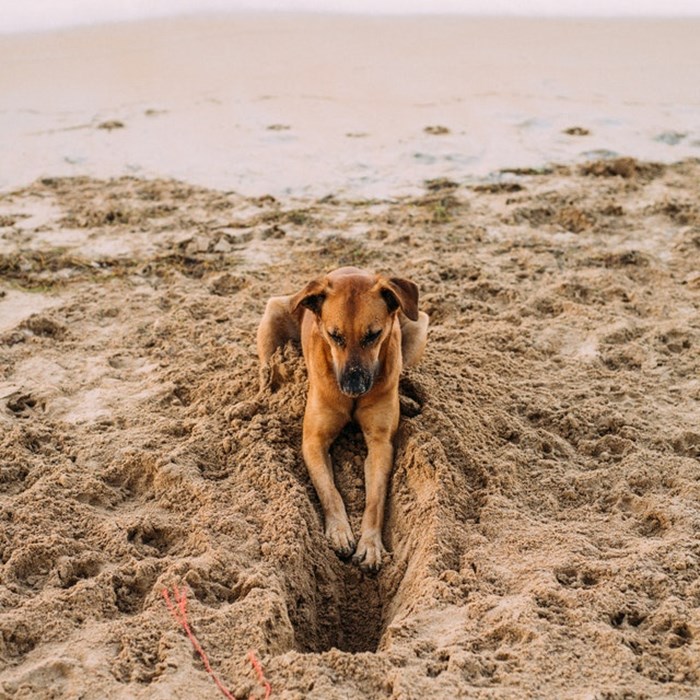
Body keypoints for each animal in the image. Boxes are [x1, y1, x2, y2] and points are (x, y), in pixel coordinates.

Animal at [258, 266, 426, 568]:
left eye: (373, 335)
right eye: (334, 336)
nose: (353, 387)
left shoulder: (381, 444)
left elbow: (375, 499)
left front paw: (369, 543)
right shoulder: (313, 441)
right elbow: (329, 490)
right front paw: (339, 531)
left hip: (419, 325)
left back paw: (406, 399)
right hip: (273, 314)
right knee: (266, 371)